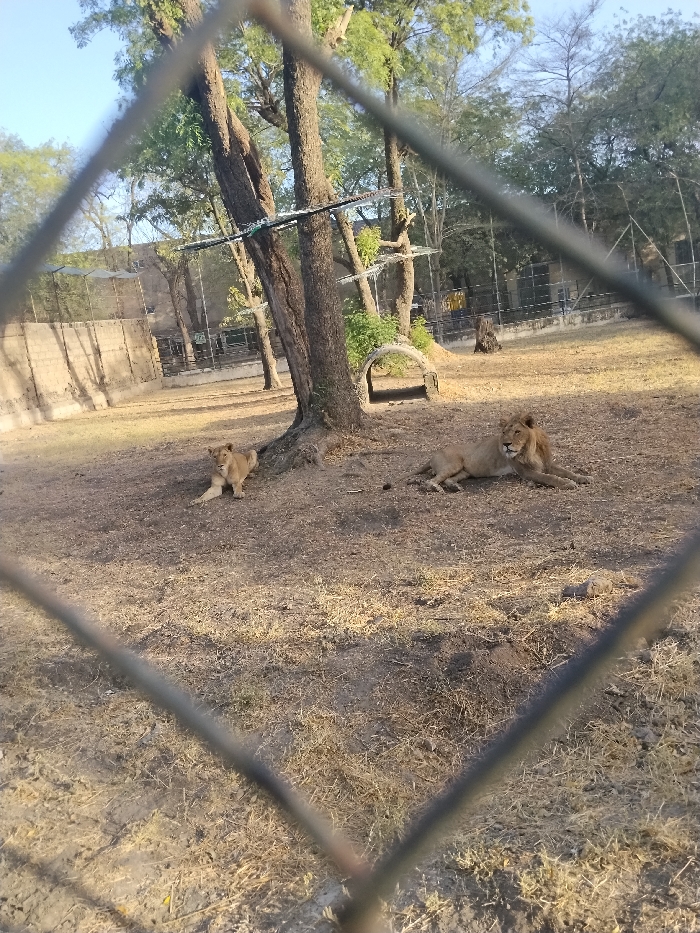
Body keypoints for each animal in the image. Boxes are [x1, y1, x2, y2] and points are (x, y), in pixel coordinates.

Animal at [410, 413, 591, 492]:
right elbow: (550, 477)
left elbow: (566, 471)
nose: (506, 445)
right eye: (504, 432)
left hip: (464, 472)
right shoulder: (526, 472)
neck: (530, 449)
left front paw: (583, 477)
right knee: (431, 481)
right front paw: (567, 483)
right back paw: (434, 488)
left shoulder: (546, 463)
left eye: (517, 432)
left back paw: (454, 486)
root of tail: (433, 455)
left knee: (448, 480)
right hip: (453, 464)